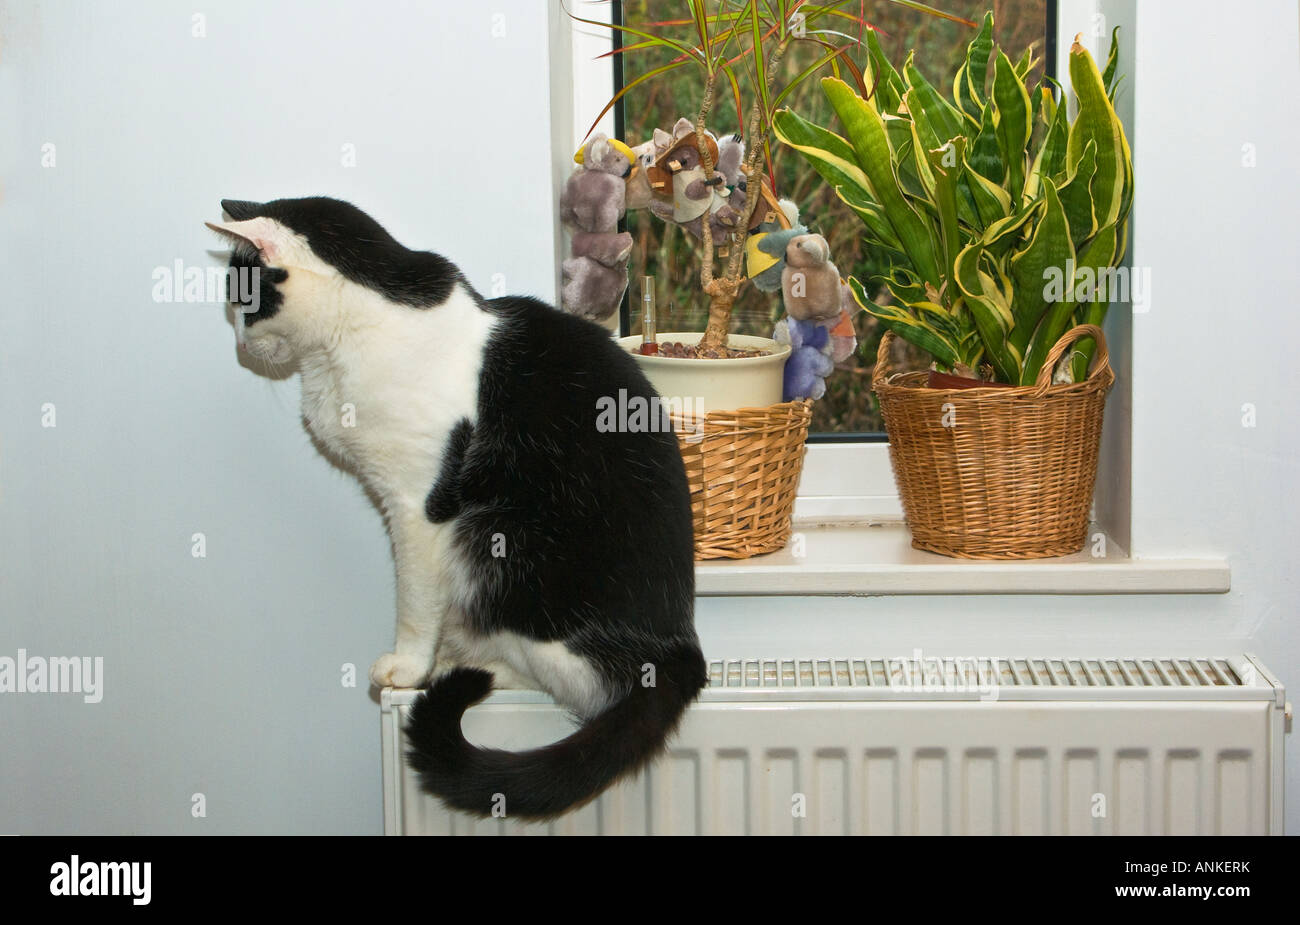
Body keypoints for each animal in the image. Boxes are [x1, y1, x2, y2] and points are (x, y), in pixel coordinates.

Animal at [206, 198, 707, 821]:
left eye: (240, 297)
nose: (238, 343)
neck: (351, 332)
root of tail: (681, 650)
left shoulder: (419, 507)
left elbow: (416, 600)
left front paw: (409, 666)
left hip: (497, 539)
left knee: (568, 681)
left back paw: (475, 661)